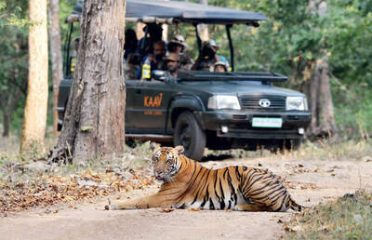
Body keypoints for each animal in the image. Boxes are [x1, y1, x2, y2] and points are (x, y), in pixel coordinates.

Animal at [107, 145, 302, 211]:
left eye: (168, 160)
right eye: (156, 159)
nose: (158, 173)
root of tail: (286, 193)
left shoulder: (162, 198)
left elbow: (136, 200)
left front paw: (112, 204)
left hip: (251, 176)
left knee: (271, 207)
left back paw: (239, 207)